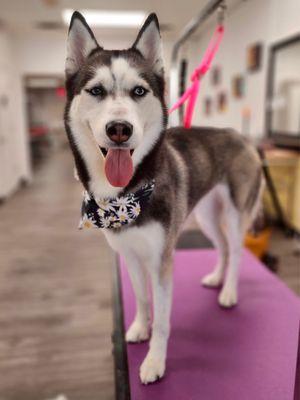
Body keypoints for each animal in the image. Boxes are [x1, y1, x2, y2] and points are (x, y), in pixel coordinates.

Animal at [63, 10, 262, 382]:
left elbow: (164, 321)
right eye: (96, 90)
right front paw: (140, 328)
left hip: (233, 213)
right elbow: (142, 300)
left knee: (237, 251)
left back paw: (228, 291)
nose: (119, 129)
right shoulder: (130, 255)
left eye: (139, 91)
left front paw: (155, 361)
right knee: (223, 247)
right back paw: (217, 278)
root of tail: (241, 137)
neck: (125, 195)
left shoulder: (161, 260)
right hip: (206, 217)